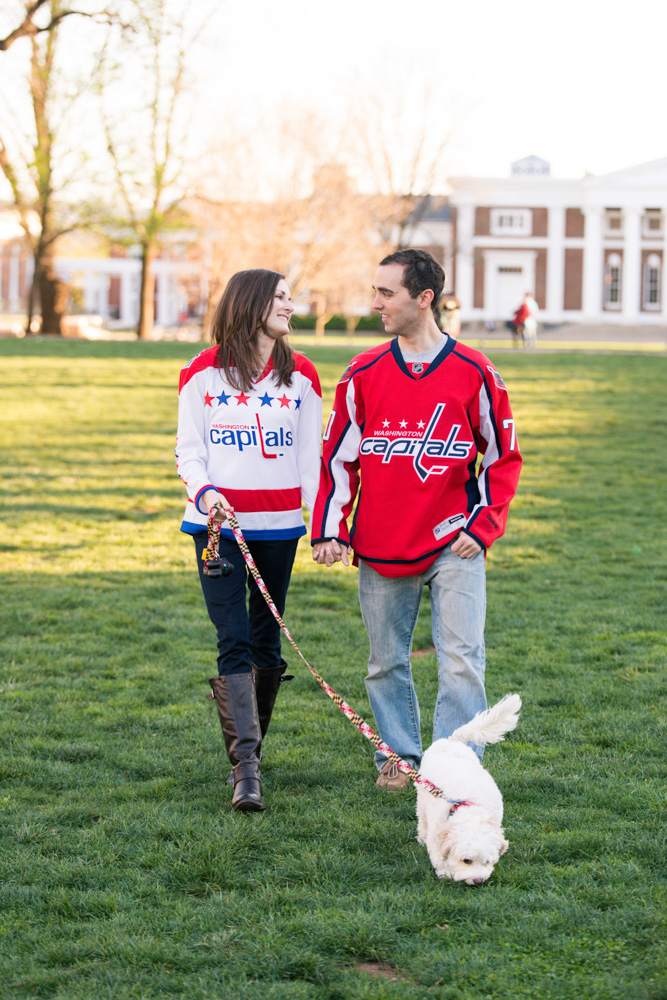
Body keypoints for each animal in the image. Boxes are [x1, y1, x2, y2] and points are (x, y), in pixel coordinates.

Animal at [418, 692, 520, 888]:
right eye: (466, 860)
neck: (467, 806)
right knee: (422, 819)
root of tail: (451, 741)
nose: (479, 880)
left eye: (487, 861)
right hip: (421, 796)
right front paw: (446, 873)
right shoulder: (437, 836)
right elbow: (438, 856)